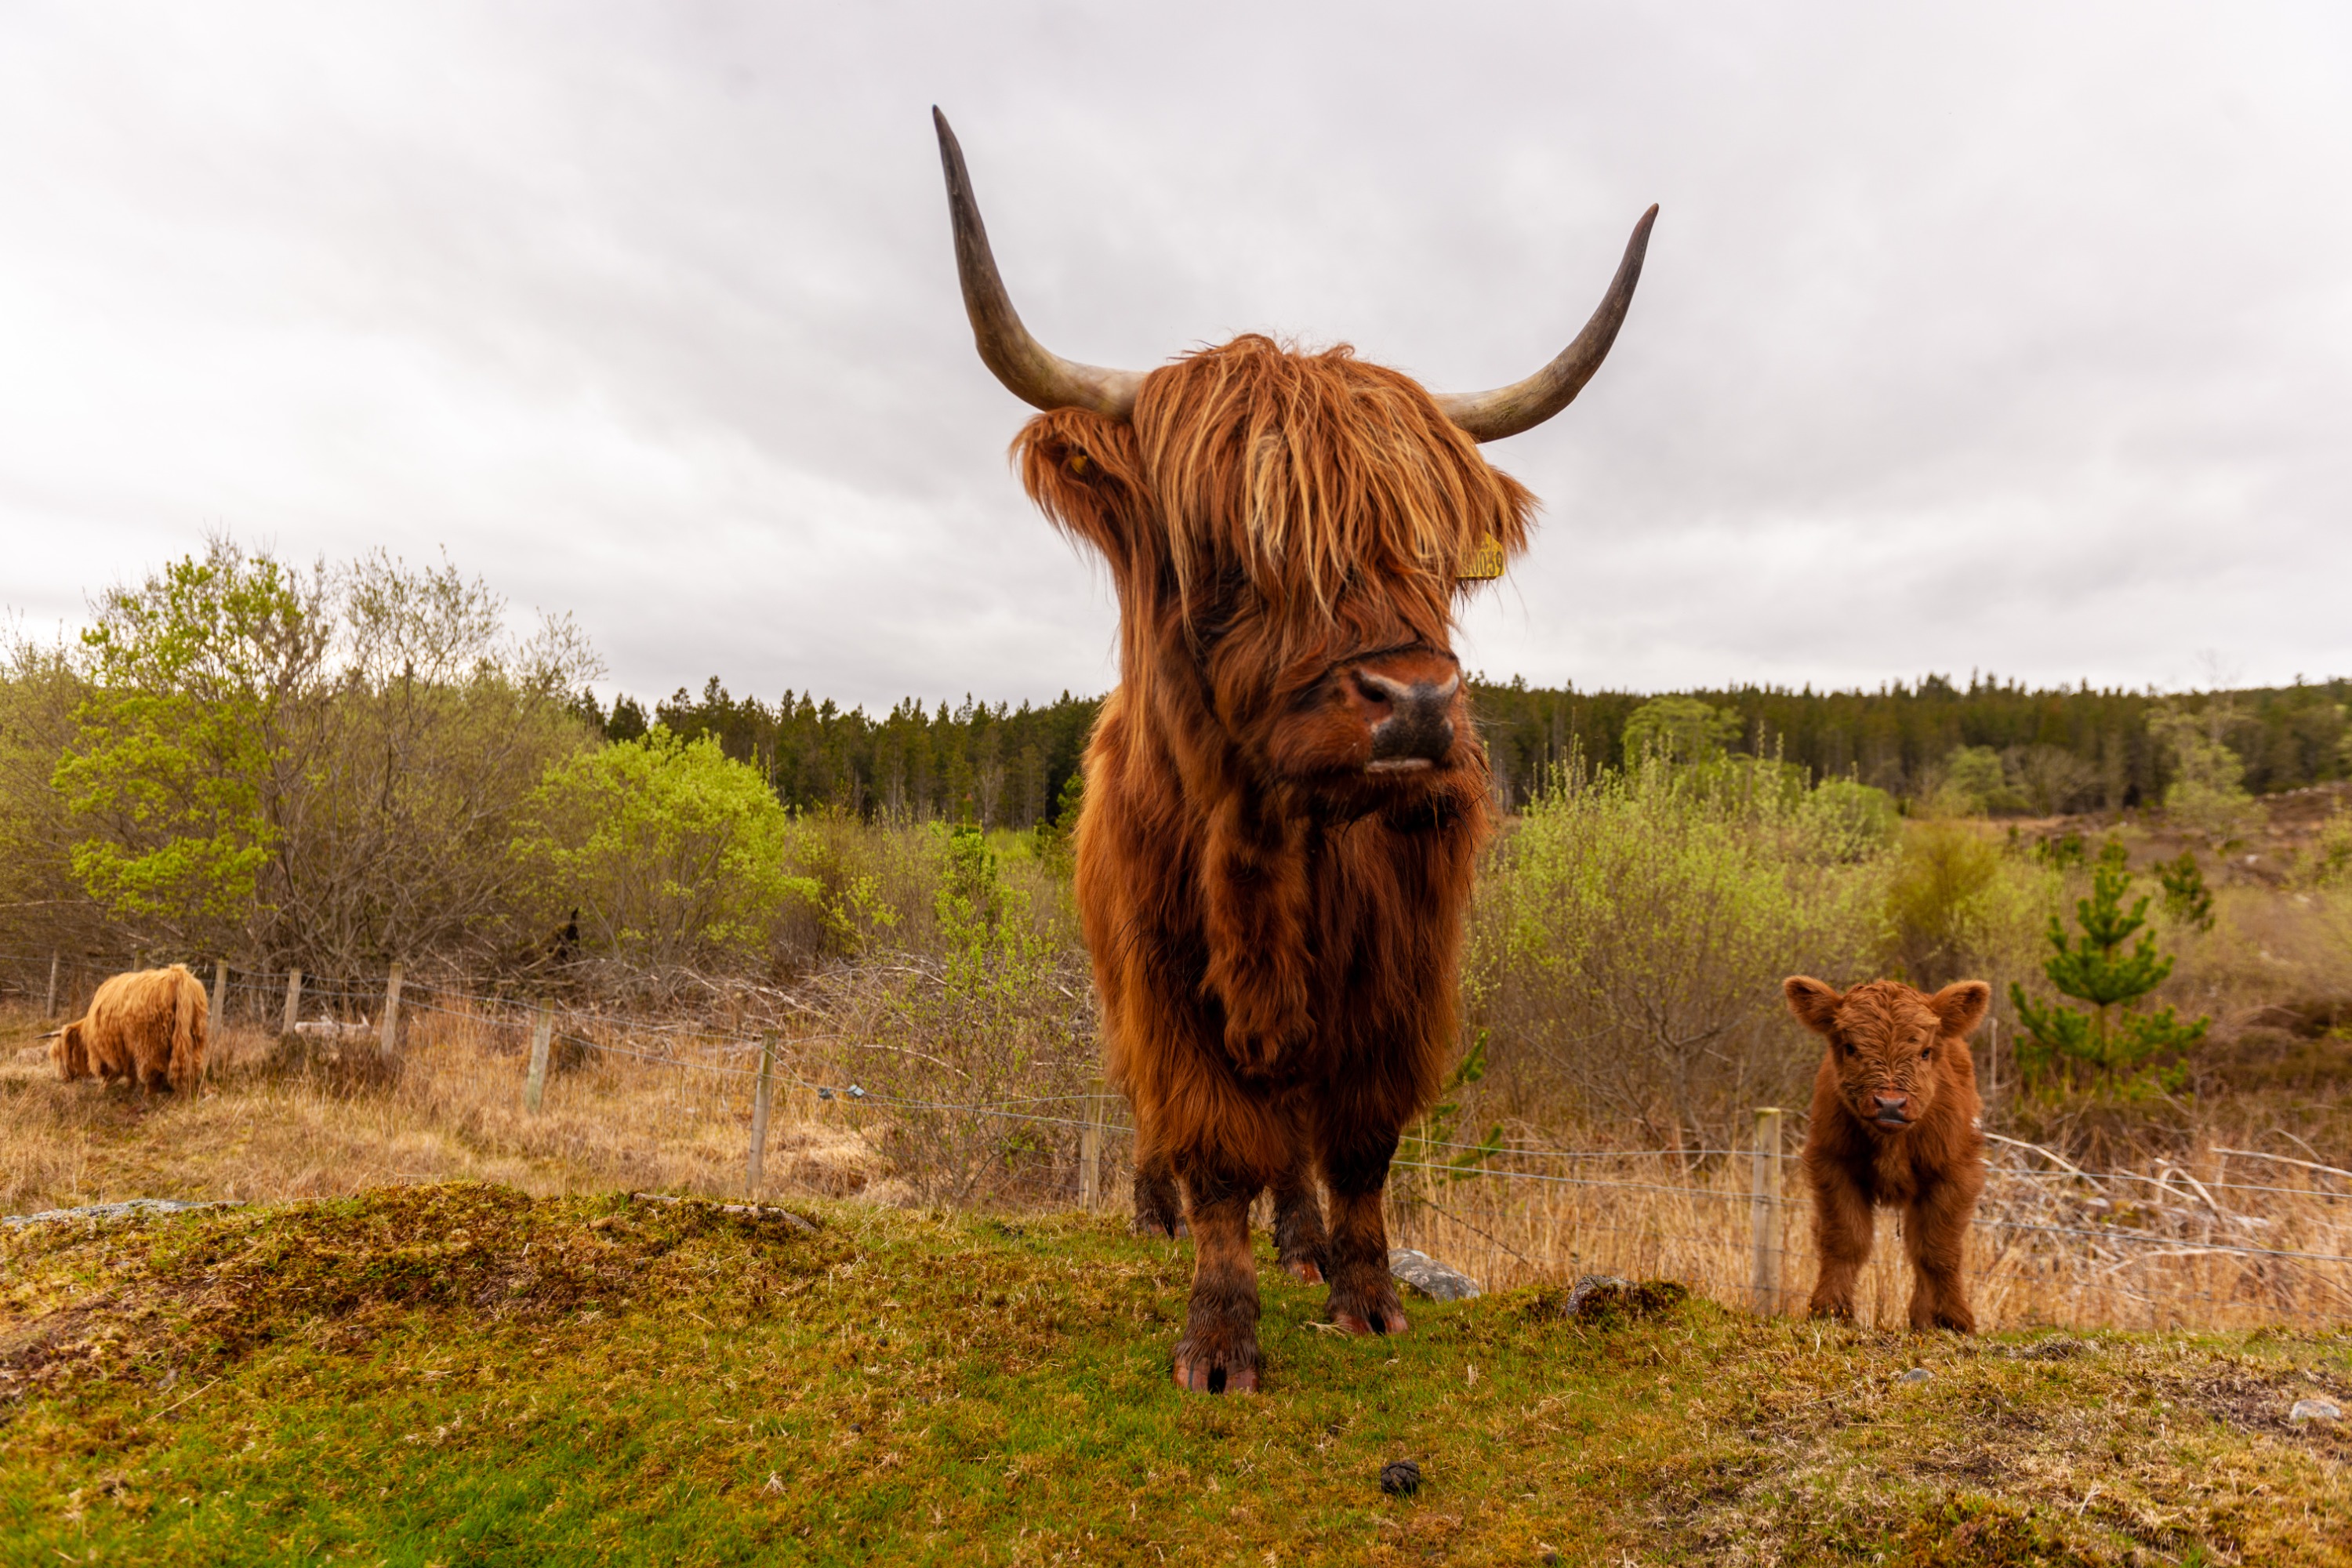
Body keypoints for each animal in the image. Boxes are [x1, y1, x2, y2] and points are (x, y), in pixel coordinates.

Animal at [52, 964, 212, 1100]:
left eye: (62, 1055)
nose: (63, 1078)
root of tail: (178, 975)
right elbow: (130, 1072)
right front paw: (128, 1088)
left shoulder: (110, 1049)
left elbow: (112, 1073)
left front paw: (103, 1091)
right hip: (194, 1035)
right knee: (191, 1066)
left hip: (150, 1044)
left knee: (154, 1072)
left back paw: (147, 1097)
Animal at [931, 113, 1656, 1401]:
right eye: (1234, 552)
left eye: (1434, 550)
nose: (1415, 706)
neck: (1271, 846)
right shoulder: (1166, 982)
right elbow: (1217, 1145)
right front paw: (1220, 1338)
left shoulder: (1401, 973)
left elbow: (1360, 1140)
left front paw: (1363, 1296)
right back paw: (1155, 1215)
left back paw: (1305, 1240)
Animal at [1778, 973, 1985, 1335]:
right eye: (1850, 1047)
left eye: (1925, 1052)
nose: (1890, 1104)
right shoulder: (1833, 1165)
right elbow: (1845, 1239)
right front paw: (1830, 1310)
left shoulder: (1955, 1172)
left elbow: (1939, 1249)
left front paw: (1955, 1320)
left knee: (1919, 1246)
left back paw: (1923, 1320)